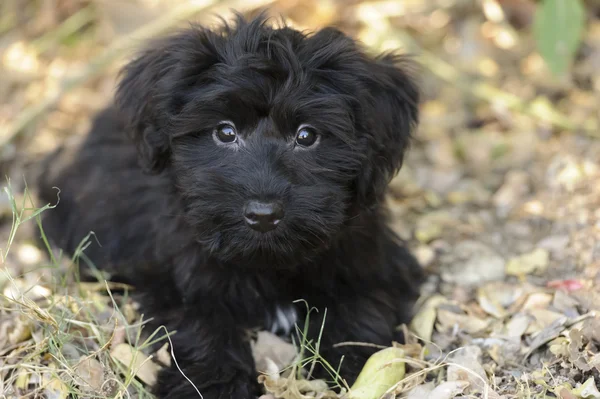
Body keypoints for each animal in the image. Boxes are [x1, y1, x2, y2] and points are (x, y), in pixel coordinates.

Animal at [37, 14, 422, 398]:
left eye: (307, 135)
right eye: (225, 132)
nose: (263, 215)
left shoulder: (371, 260)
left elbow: (362, 307)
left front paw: (351, 367)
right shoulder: (172, 275)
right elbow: (199, 324)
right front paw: (215, 383)